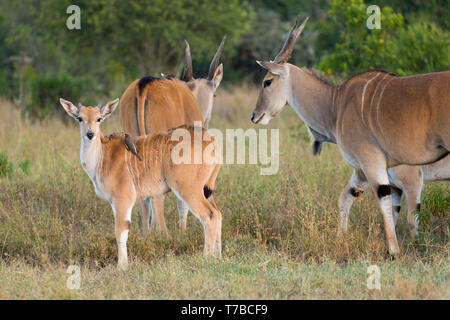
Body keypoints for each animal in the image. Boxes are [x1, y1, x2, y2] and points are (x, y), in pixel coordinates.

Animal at [59, 98, 221, 270]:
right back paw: (218, 257)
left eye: (99, 118)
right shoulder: (116, 202)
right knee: (218, 214)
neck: (103, 156)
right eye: (79, 118)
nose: (90, 134)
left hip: (188, 189)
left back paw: (206, 258)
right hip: (205, 189)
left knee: (210, 216)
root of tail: (210, 139)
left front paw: (122, 266)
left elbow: (121, 230)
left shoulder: (123, 199)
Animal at [119, 38, 225, 238]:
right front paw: (182, 232)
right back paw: (162, 235)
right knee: (156, 198)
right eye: (215, 94)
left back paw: (147, 235)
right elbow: (182, 202)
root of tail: (144, 85)